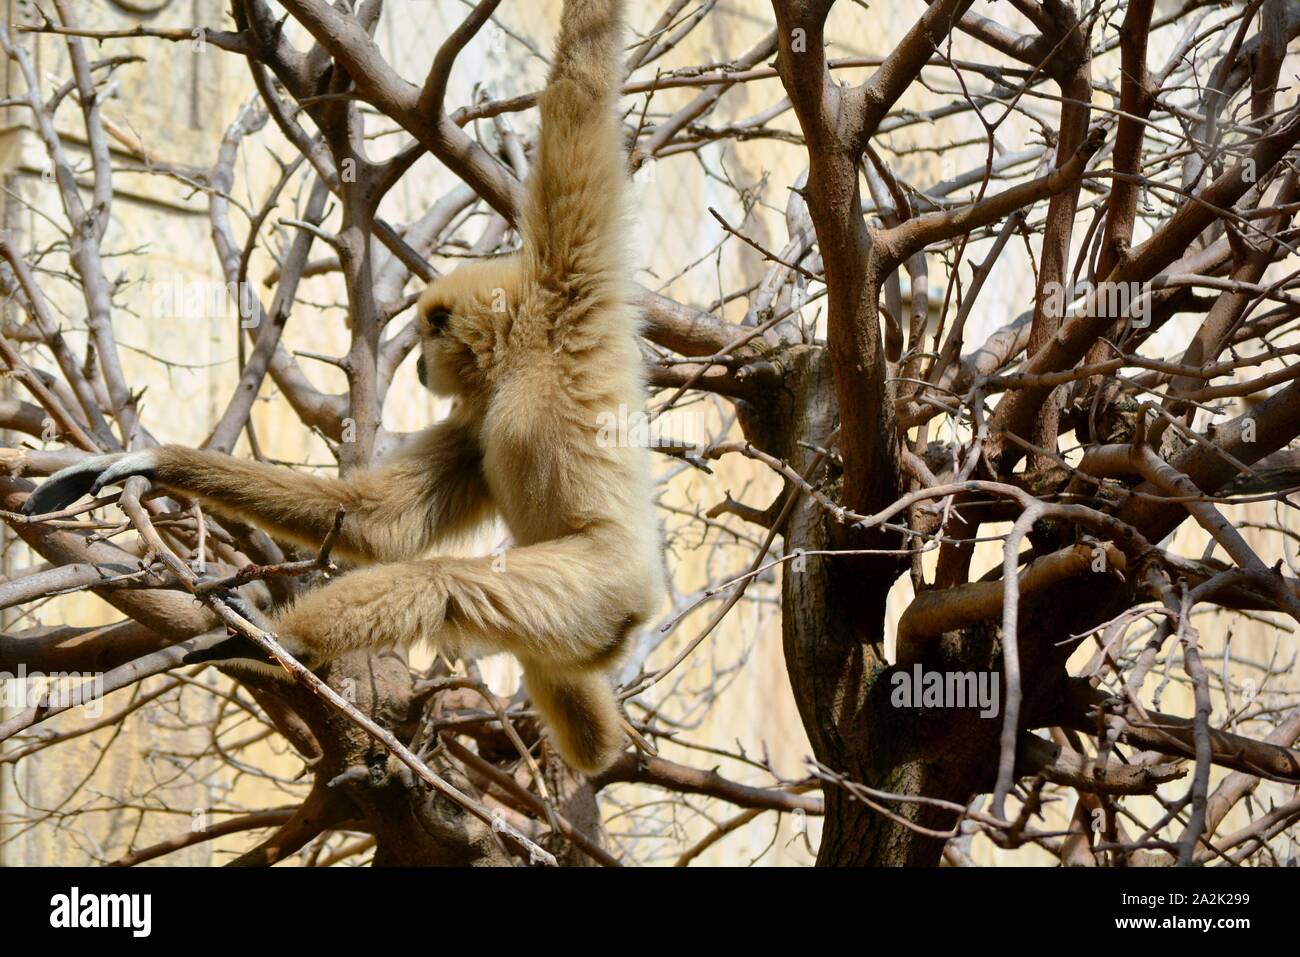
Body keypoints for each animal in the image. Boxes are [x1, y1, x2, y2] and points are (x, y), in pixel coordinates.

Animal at [22, 0, 662, 775]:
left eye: (426, 334)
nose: (416, 364)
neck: (520, 358)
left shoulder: (569, 294)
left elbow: (580, 97)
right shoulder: (477, 415)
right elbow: (376, 522)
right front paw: (152, 460)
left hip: (597, 584)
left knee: (443, 585)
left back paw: (283, 642)